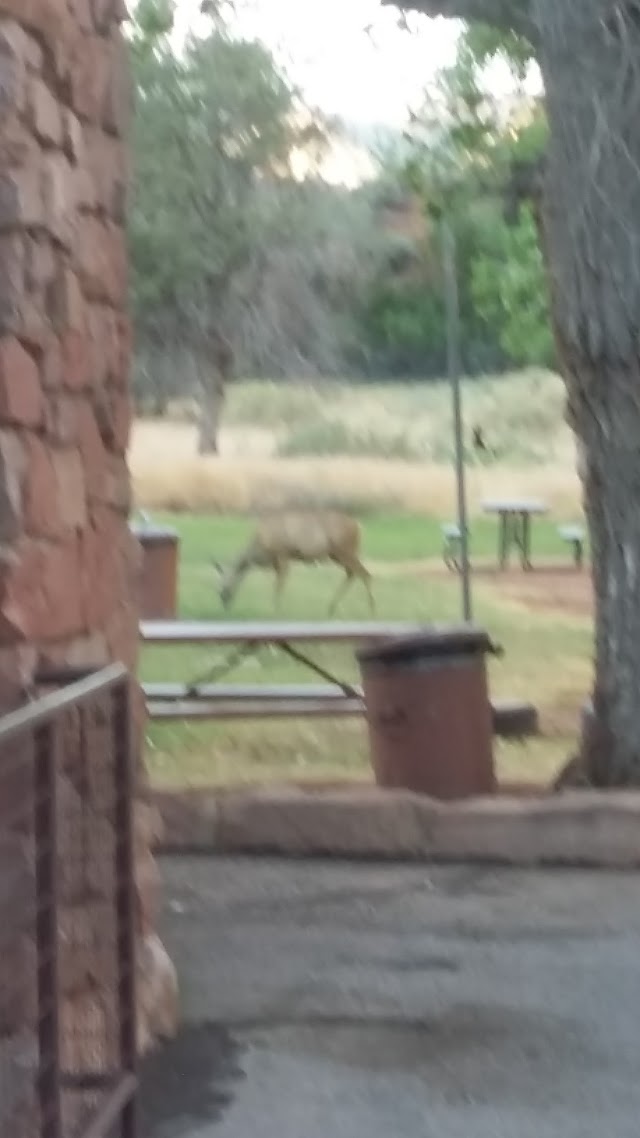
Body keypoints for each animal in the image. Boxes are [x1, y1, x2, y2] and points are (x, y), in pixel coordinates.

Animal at [214, 512, 373, 614]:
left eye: (223, 588)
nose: (224, 604)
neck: (260, 550)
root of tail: (358, 526)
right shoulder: (278, 560)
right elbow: (279, 582)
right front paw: (276, 607)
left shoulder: (282, 554)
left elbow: (279, 583)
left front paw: (275, 609)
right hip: (337, 554)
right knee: (352, 573)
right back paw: (331, 607)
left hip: (345, 550)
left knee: (364, 573)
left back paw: (371, 609)